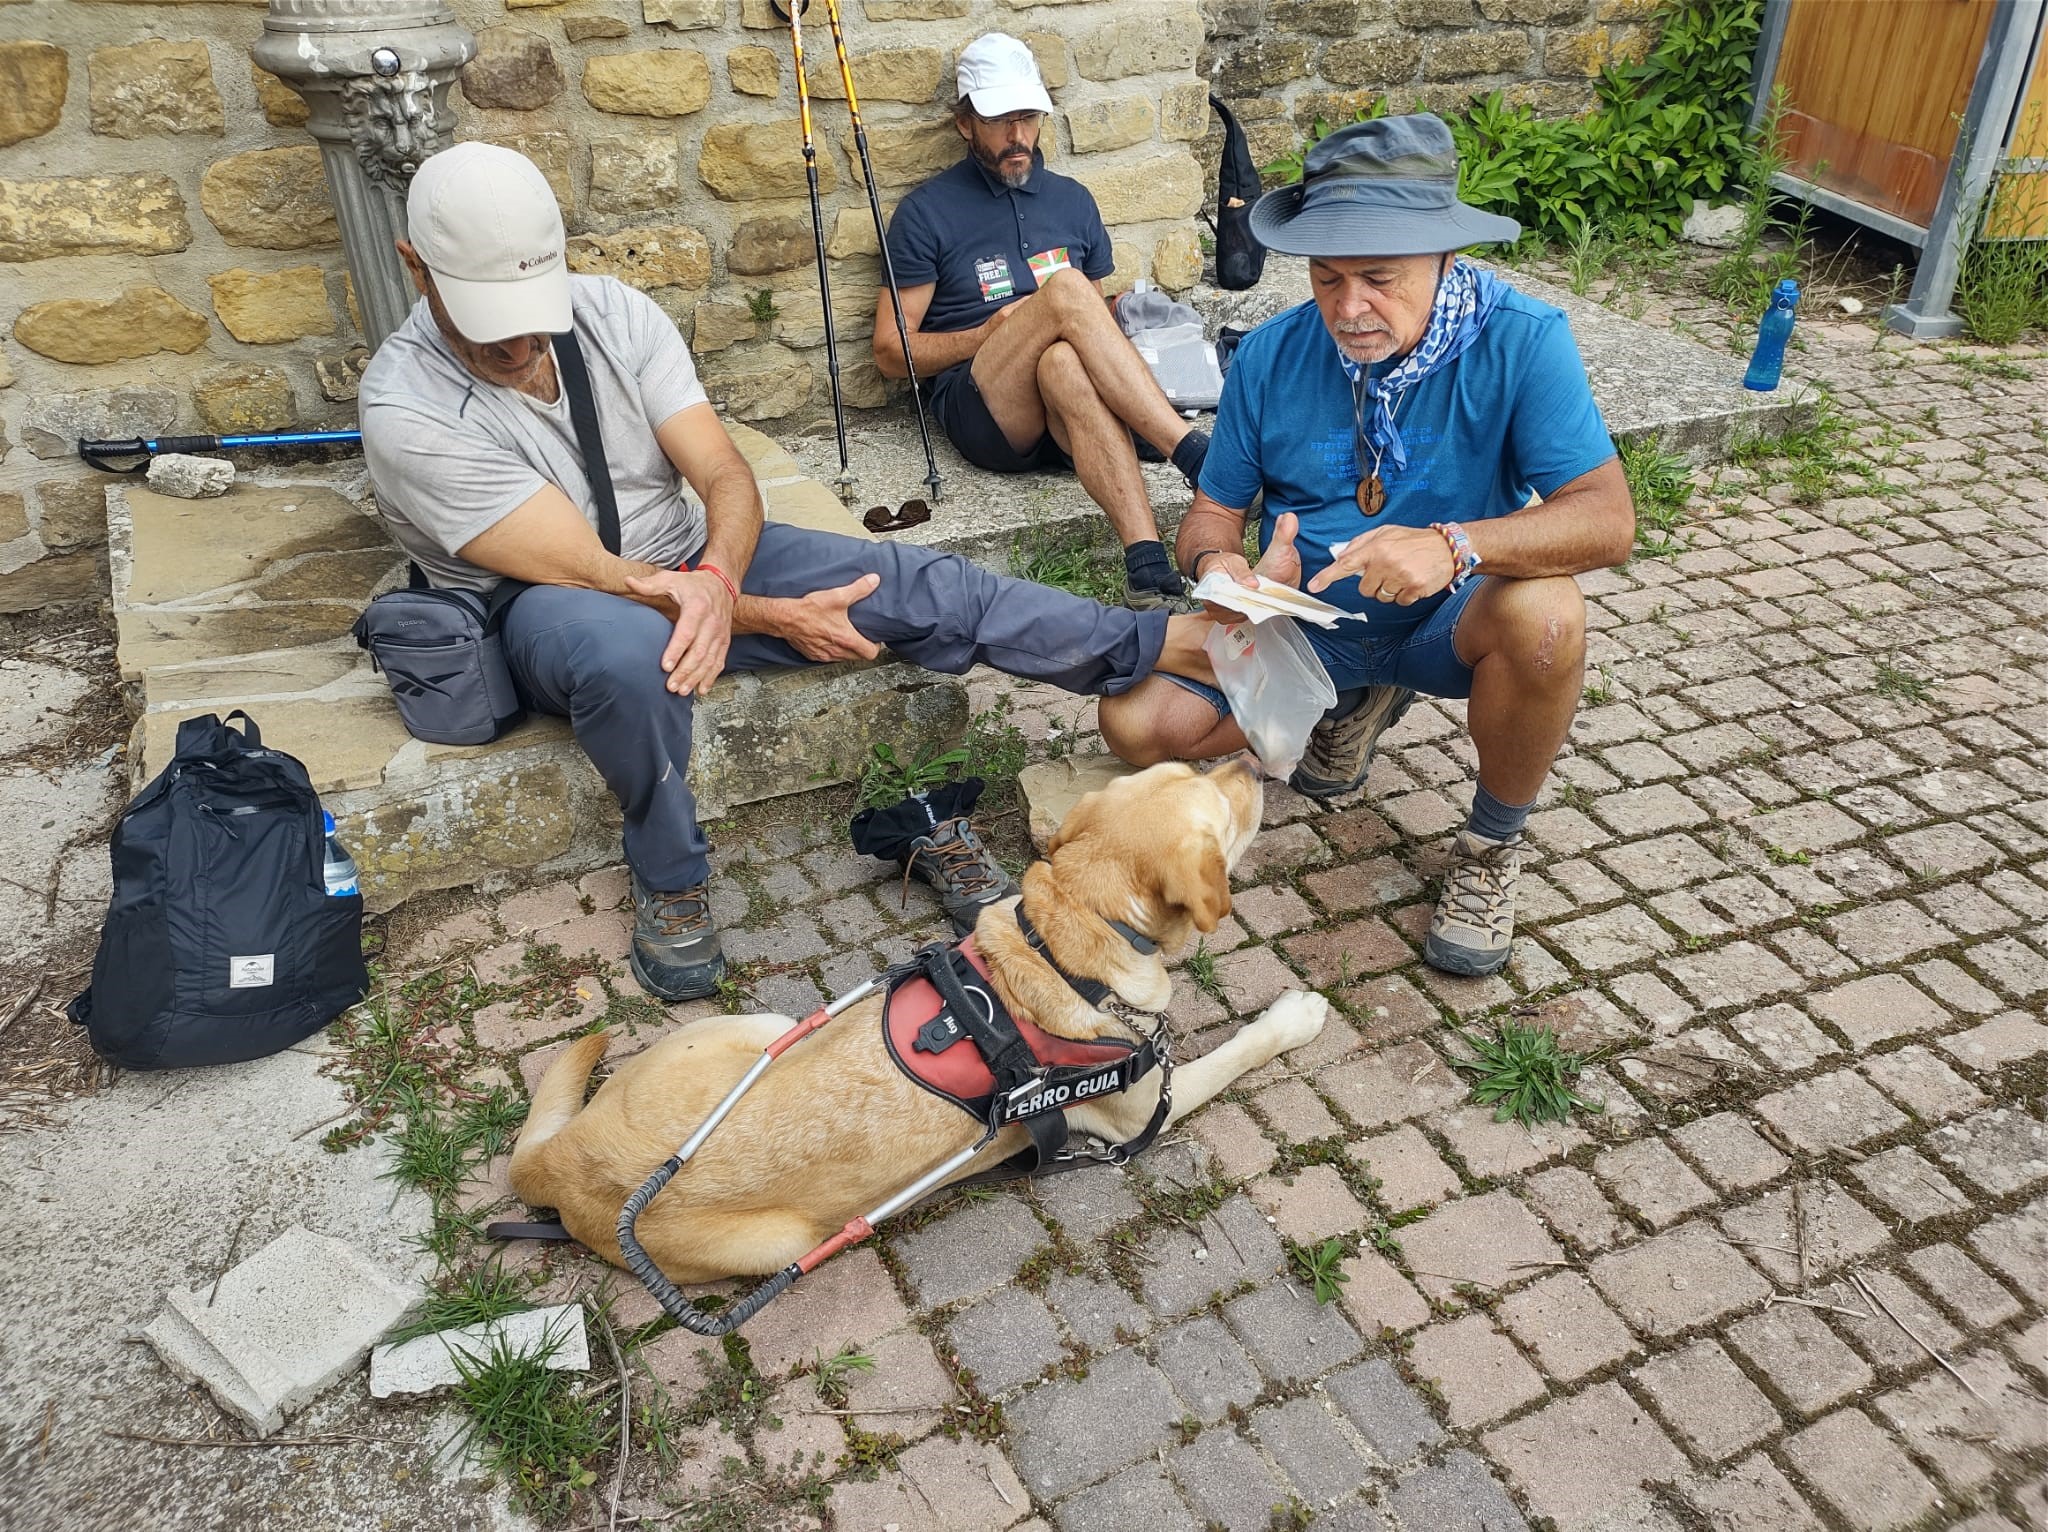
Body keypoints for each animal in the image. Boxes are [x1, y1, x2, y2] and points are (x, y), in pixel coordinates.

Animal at [516, 761, 1327, 1286]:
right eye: (1223, 808)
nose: (1251, 761)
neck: (1063, 939)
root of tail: (561, 1159)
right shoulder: (1142, 1105)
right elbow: (1243, 1046)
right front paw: (1296, 1015)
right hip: (780, 1232)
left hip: (771, 1026)